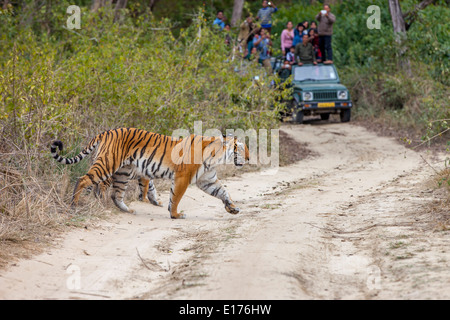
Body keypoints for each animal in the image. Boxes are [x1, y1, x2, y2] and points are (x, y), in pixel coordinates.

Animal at [51, 127, 253, 218]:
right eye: (242, 148)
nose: (250, 158)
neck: (216, 157)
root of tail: (108, 131)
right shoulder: (182, 177)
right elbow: (175, 197)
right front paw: (175, 215)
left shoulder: (207, 180)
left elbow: (223, 191)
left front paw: (232, 208)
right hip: (108, 165)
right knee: (83, 180)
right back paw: (74, 205)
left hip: (123, 172)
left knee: (116, 195)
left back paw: (128, 210)